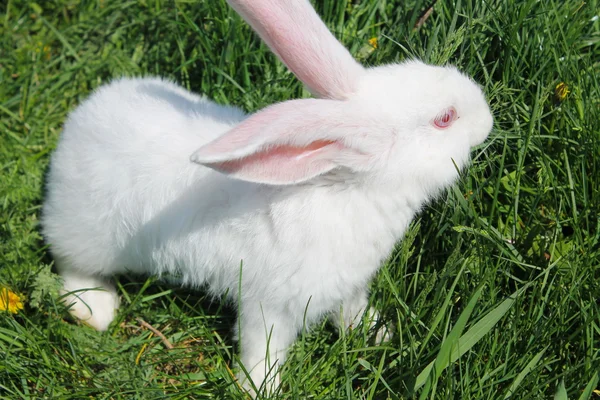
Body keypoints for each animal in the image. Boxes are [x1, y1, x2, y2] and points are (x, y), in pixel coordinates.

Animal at [41, 0, 492, 396]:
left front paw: (379, 334)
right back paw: (96, 309)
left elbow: (352, 312)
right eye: (445, 118)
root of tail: (81, 120)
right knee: (71, 263)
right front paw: (260, 389)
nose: (487, 118)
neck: (342, 185)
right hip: (89, 235)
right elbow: (263, 350)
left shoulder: (347, 288)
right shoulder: (269, 306)